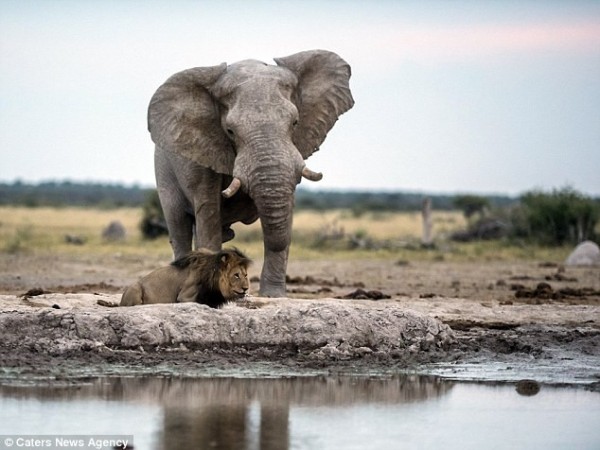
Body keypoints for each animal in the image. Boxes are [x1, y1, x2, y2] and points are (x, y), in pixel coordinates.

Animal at [120, 246, 252, 310]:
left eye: (245, 275)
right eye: (236, 275)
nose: (246, 288)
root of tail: (121, 302)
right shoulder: (184, 297)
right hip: (134, 288)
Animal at [149, 49, 354, 298]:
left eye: (295, 123)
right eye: (230, 131)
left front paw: (273, 296)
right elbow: (208, 212)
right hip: (163, 169)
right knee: (178, 225)